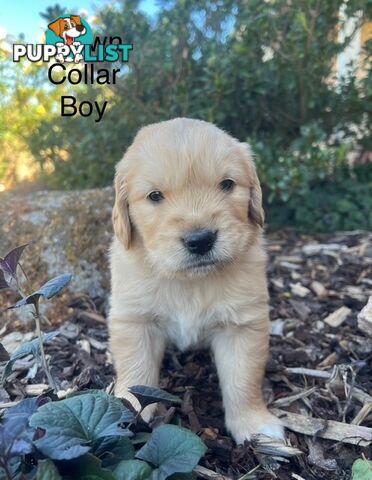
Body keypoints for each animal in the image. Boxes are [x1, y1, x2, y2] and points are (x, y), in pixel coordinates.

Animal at [109, 116, 284, 442]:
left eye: (227, 184)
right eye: (155, 196)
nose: (200, 240)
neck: (190, 281)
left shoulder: (241, 327)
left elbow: (243, 380)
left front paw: (254, 425)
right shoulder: (135, 321)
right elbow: (136, 371)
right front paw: (128, 412)